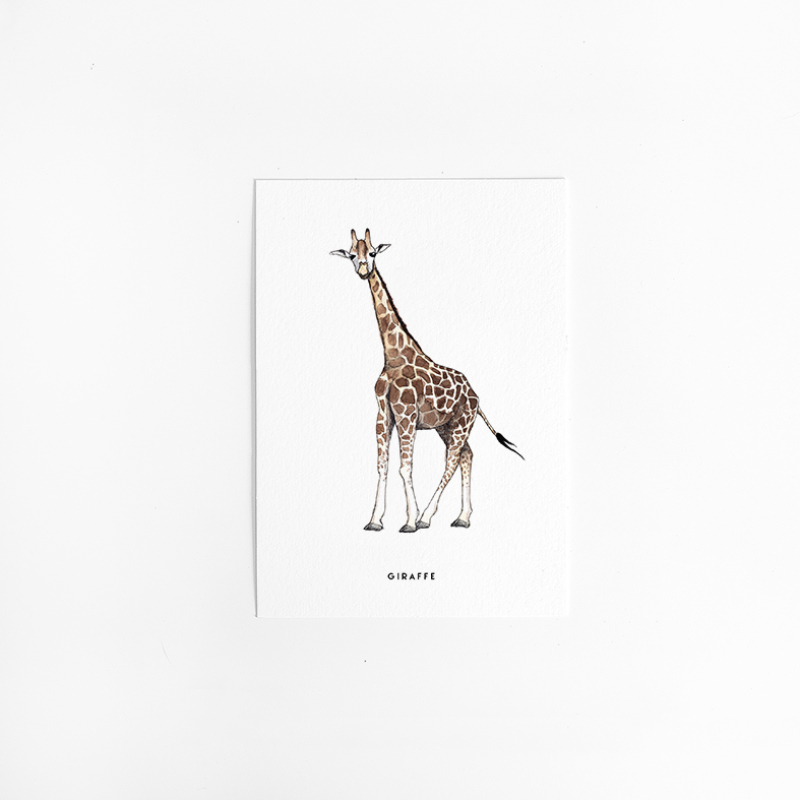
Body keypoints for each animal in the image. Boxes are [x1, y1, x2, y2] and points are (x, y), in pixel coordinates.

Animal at [330, 228, 523, 532]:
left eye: (372, 252)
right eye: (351, 254)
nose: (362, 270)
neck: (394, 356)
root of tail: (476, 398)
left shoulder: (406, 414)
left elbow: (404, 467)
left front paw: (409, 520)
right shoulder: (383, 414)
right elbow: (382, 466)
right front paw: (374, 520)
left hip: (461, 423)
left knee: (452, 461)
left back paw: (426, 517)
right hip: (446, 426)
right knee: (466, 455)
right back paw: (462, 517)